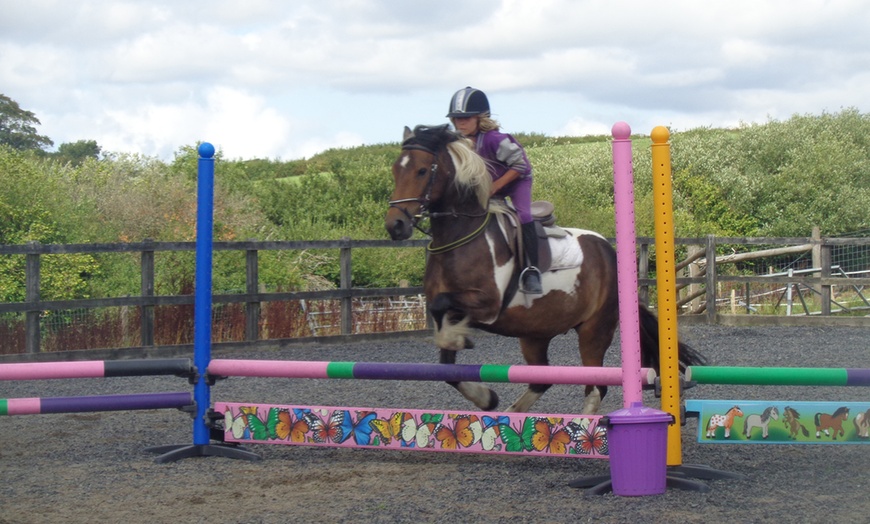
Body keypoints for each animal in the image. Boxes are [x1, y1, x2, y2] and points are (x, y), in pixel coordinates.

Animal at [384, 126, 704, 414]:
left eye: (422, 171)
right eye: (395, 171)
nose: (395, 226)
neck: (459, 236)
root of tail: (608, 251)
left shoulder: (487, 304)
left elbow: (442, 308)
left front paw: (459, 339)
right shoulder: (455, 308)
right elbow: (446, 362)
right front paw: (486, 396)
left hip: (594, 330)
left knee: (595, 387)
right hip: (534, 333)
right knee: (541, 379)